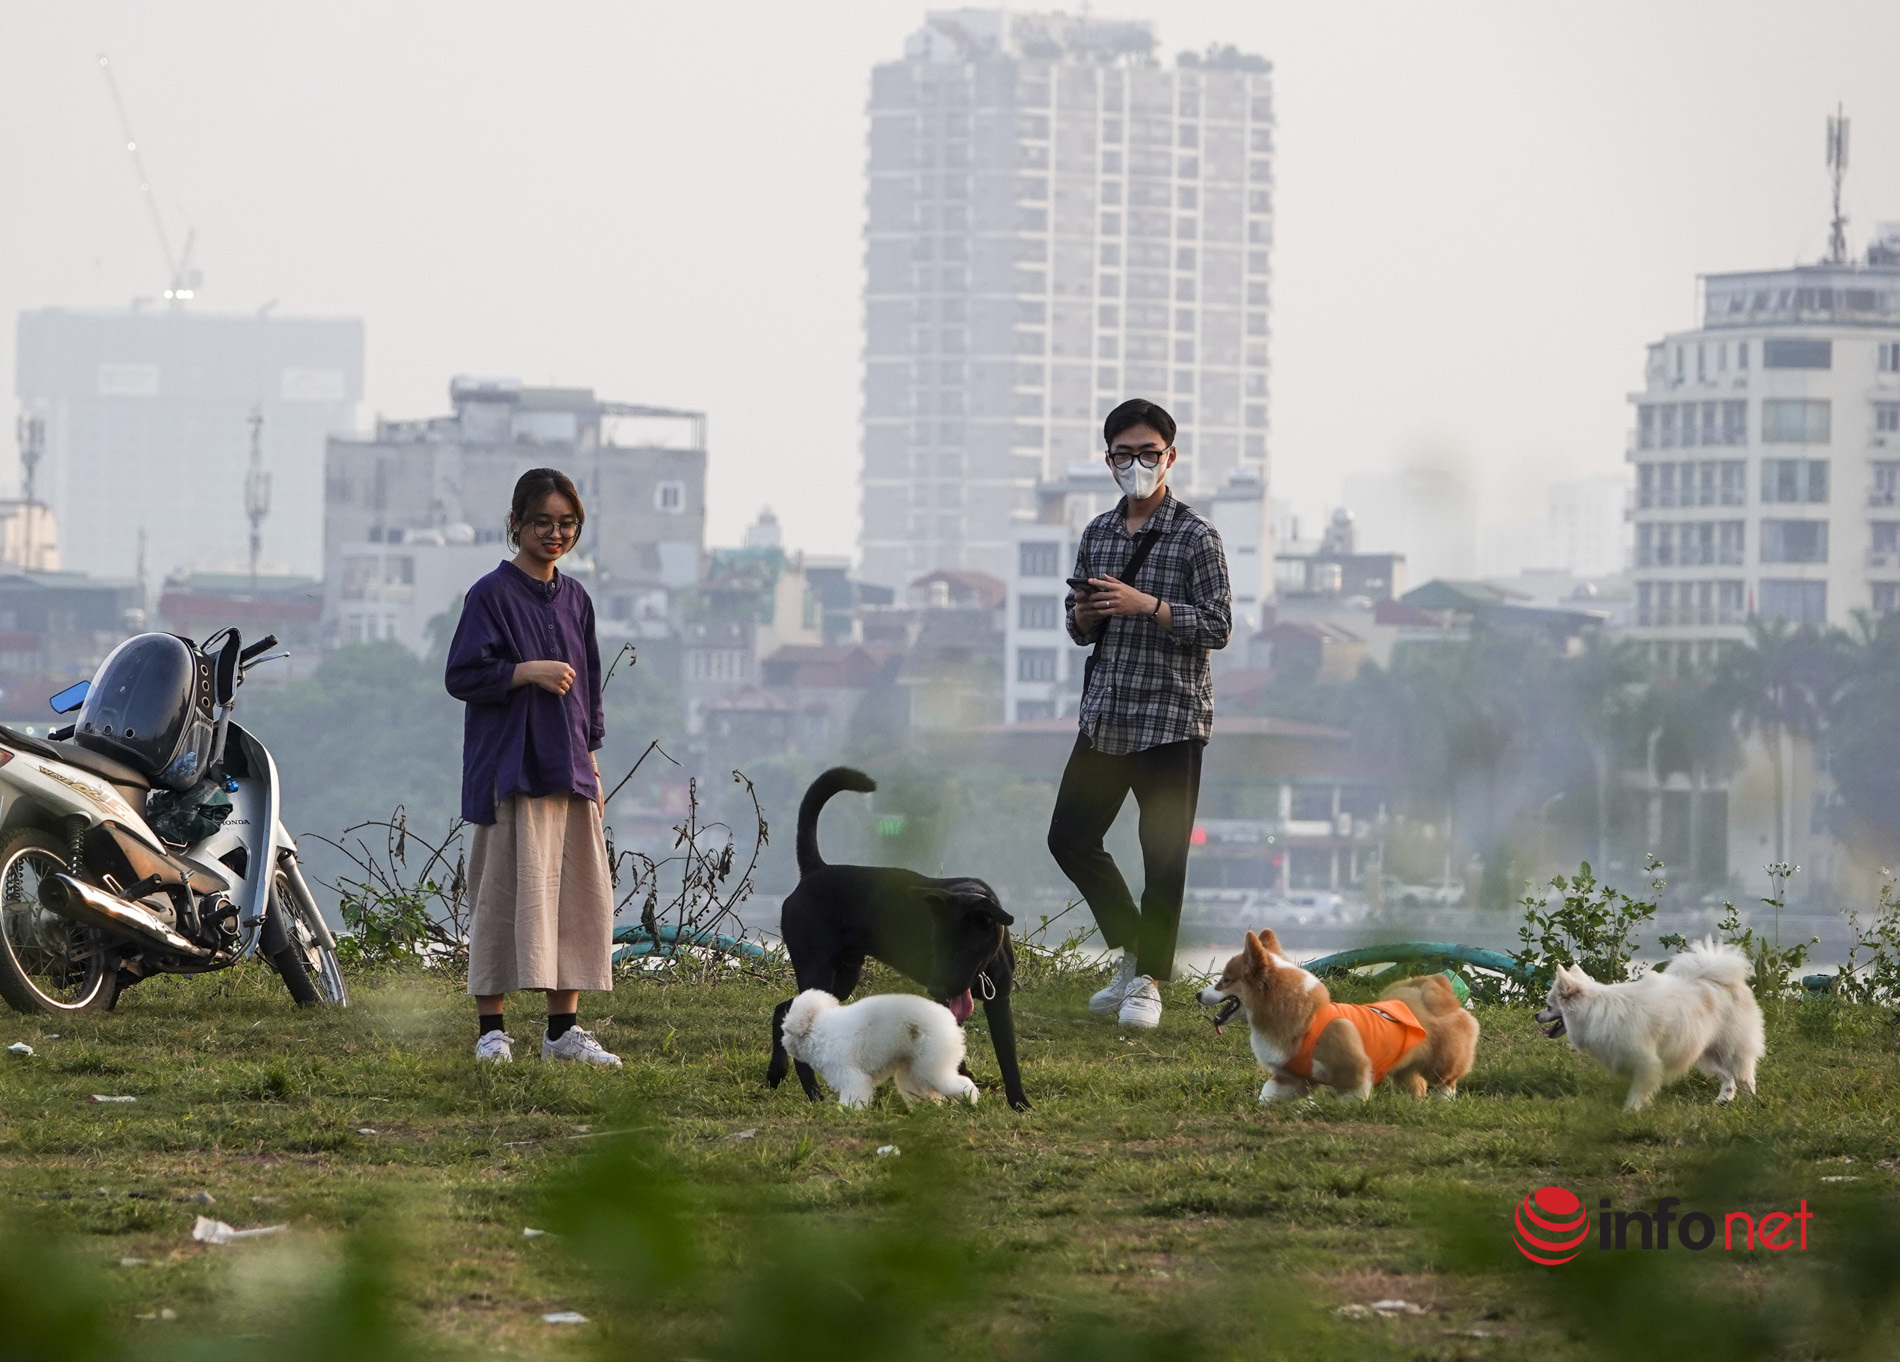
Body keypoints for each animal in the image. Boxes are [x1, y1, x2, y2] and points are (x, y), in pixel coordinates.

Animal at [775, 987, 980, 1101]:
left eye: (785, 1029)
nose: (783, 1043)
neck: (819, 1030)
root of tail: (951, 1023)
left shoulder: (851, 1077)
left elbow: (853, 1098)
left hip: (932, 1065)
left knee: (959, 1084)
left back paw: (970, 1099)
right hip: (913, 1069)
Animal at [1527, 942, 1763, 1109]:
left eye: (1548, 1006)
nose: (1536, 1015)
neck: (1594, 1009)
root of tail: (1718, 979)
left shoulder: (1646, 1061)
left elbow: (1639, 1089)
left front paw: (1630, 1111)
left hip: (1731, 1047)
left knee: (1744, 1075)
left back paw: (1748, 1101)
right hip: (1703, 1054)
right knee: (1727, 1076)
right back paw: (1724, 1099)